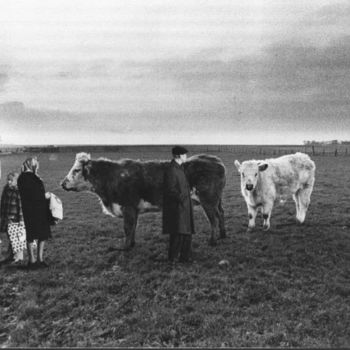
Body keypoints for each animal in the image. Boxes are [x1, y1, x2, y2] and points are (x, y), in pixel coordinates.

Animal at [61, 153, 226, 249]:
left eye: (76, 170)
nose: (62, 184)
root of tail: (215, 160)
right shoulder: (134, 209)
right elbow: (133, 227)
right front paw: (131, 244)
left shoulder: (127, 207)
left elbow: (127, 228)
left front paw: (125, 247)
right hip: (216, 201)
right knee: (221, 214)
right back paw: (222, 235)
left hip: (208, 200)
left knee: (214, 219)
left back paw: (213, 241)